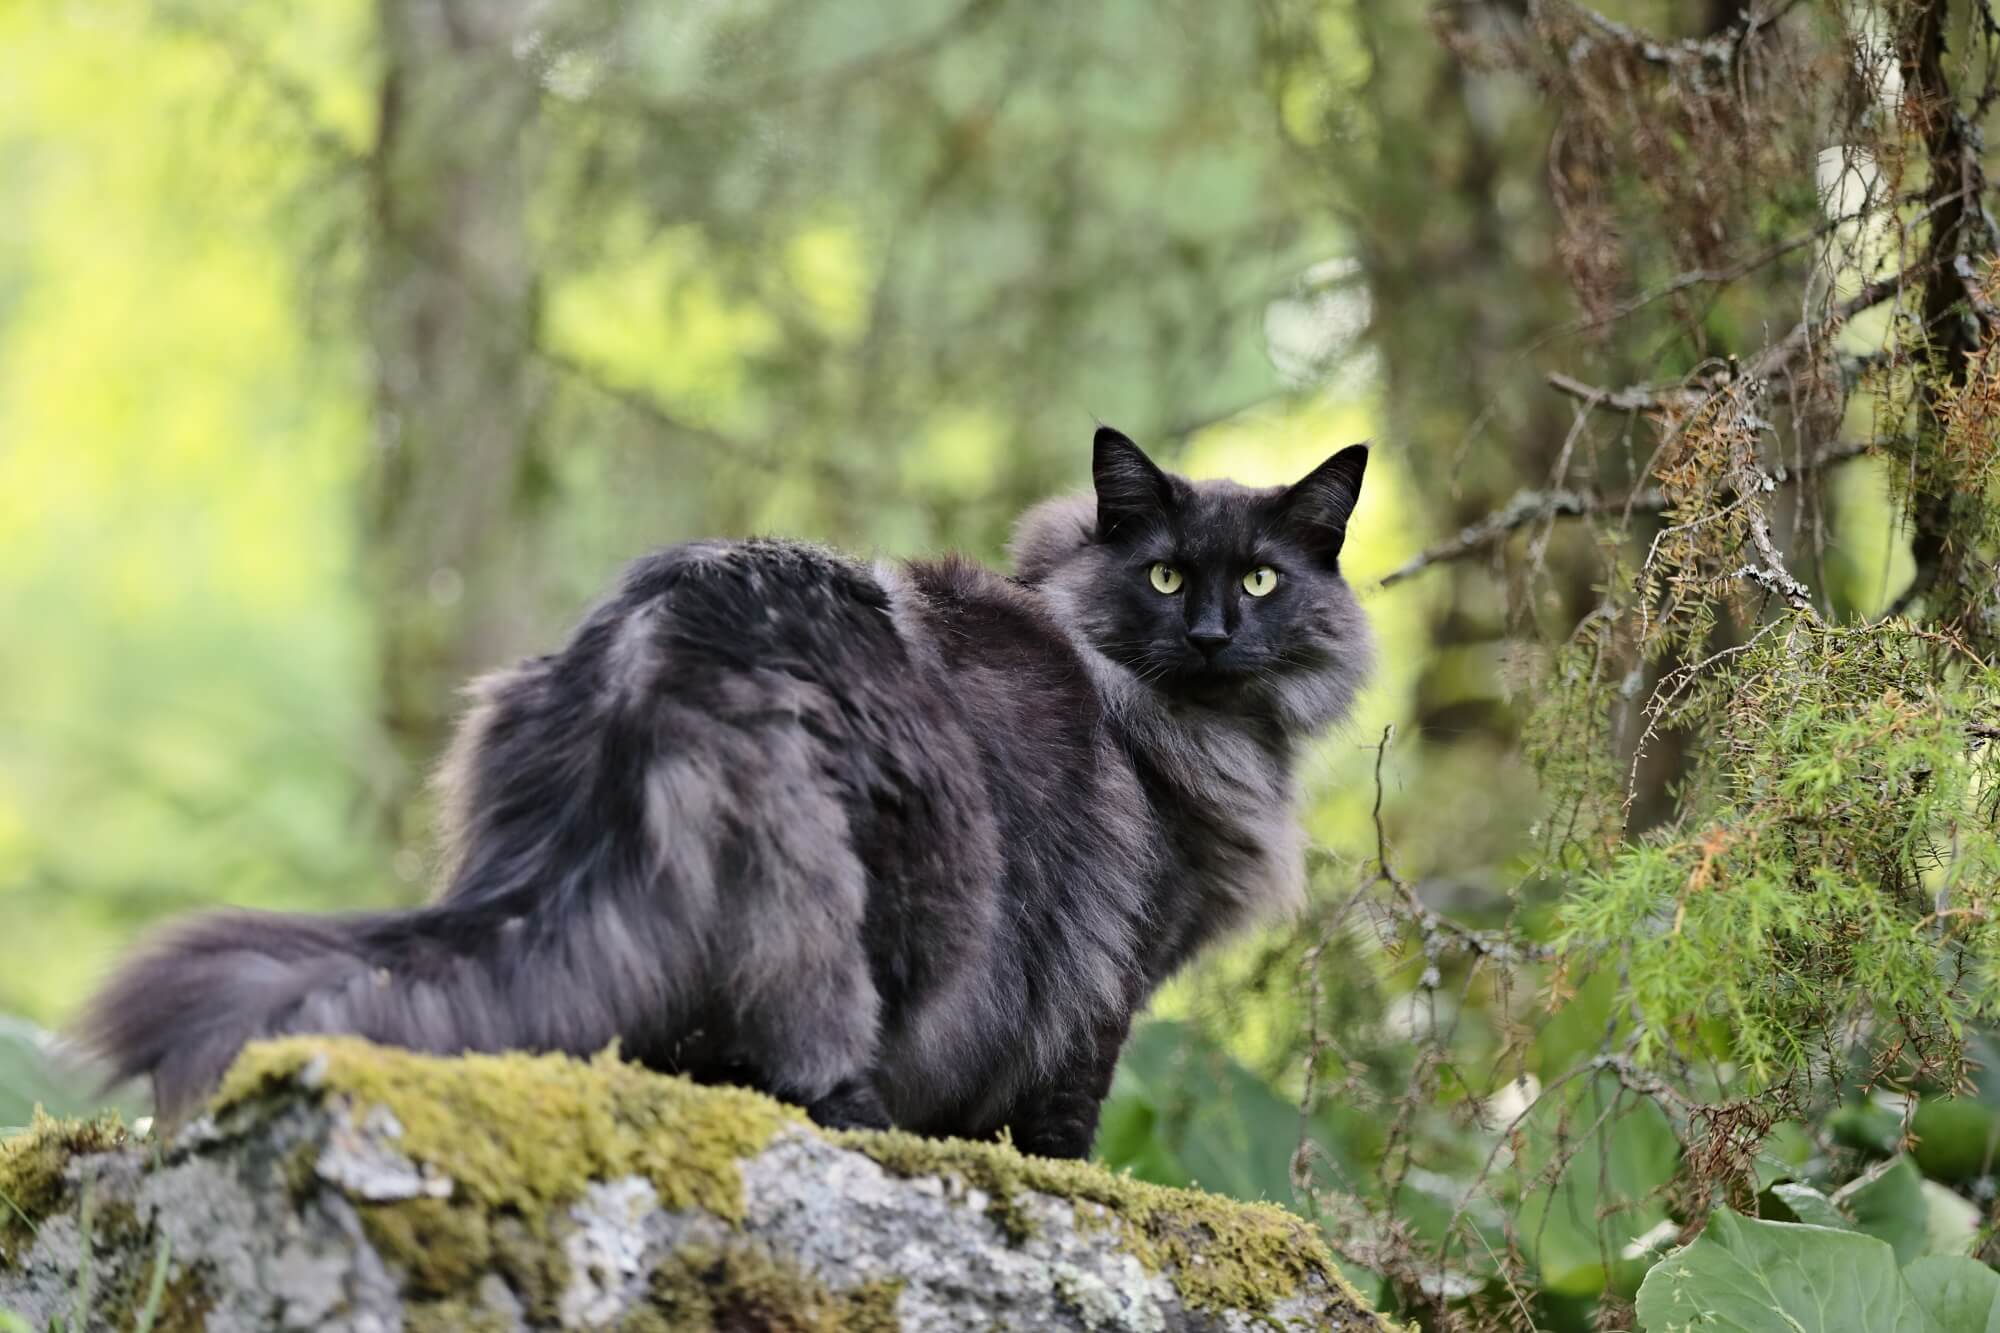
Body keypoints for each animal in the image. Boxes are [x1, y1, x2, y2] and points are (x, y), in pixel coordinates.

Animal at [78, 426, 1368, 1152]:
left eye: (1260, 579)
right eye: (1164, 577)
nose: (1211, 634)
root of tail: (659, 643)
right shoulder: (1106, 978)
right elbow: (1059, 1122)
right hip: (900, 905)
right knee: (809, 1056)